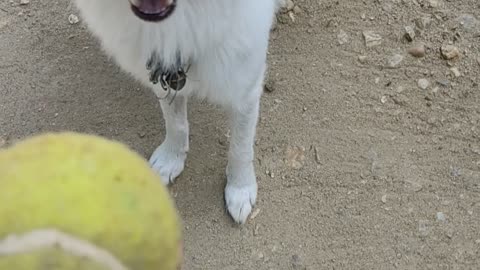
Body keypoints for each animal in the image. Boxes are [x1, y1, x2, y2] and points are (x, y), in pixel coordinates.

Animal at [73, 0, 284, 224]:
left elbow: (241, 147)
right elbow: (176, 124)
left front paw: (240, 189)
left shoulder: (245, 90)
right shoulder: (163, 75)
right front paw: (171, 159)